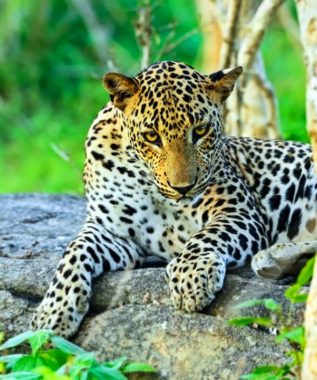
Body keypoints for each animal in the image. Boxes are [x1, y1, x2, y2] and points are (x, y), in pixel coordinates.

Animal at [30, 60, 316, 336]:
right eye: (151, 136)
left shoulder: (239, 210)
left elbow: (207, 235)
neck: (151, 186)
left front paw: (191, 276)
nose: (183, 188)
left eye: (200, 131)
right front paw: (52, 312)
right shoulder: (112, 231)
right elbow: (74, 252)